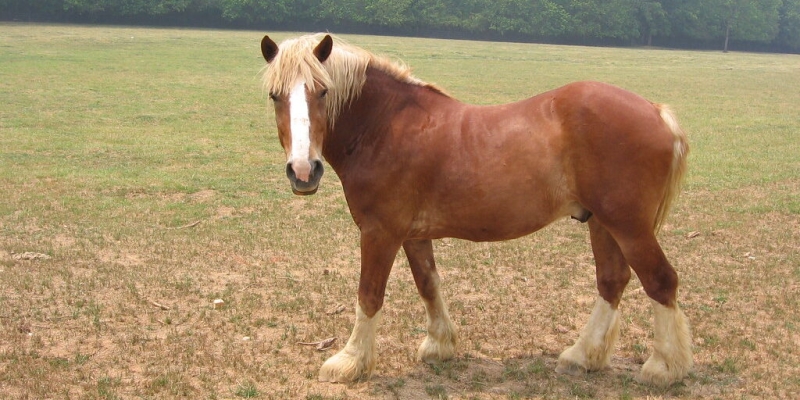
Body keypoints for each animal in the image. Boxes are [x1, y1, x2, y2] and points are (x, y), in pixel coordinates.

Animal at [260, 35, 692, 388]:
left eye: (323, 91)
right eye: (275, 95)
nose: (303, 171)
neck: (386, 127)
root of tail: (655, 111)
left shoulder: (379, 232)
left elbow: (369, 295)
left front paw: (350, 362)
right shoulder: (414, 235)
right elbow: (428, 284)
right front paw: (440, 344)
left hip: (629, 226)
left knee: (660, 281)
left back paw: (663, 368)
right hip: (603, 223)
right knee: (612, 281)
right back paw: (581, 356)